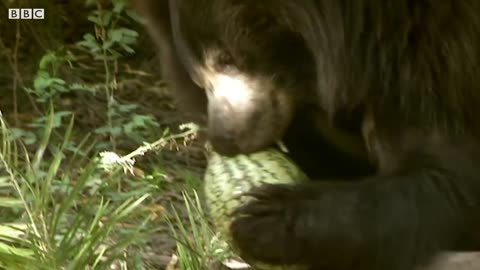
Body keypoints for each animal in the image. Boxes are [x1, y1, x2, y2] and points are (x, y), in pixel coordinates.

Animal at [133, 0, 480, 270]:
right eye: (199, 78)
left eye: (228, 59)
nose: (224, 139)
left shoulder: (438, 58)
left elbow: (450, 178)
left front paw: (268, 219)